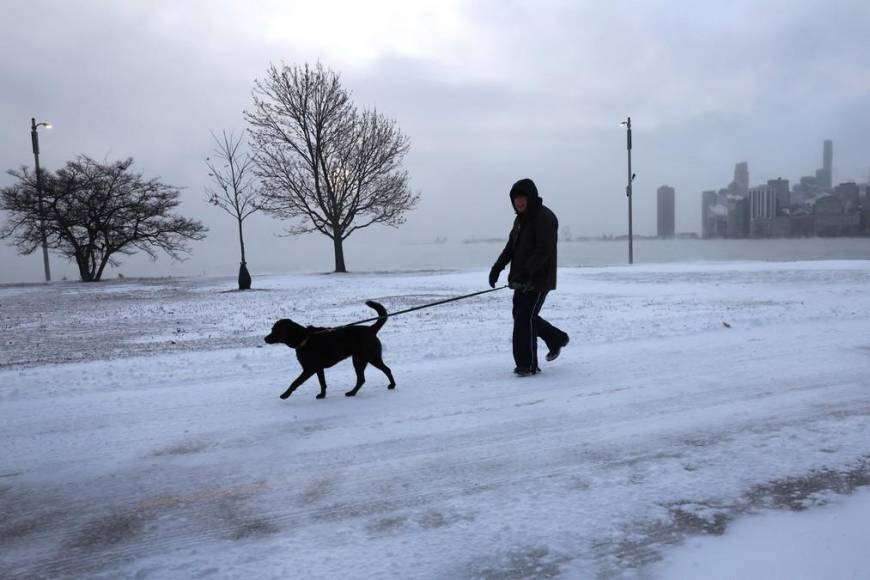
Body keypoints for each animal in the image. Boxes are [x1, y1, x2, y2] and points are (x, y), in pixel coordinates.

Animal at [264, 300, 396, 398]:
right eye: (272, 329)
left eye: (275, 330)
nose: (265, 339)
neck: (304, 338)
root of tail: (371, 329)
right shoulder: (318, 368)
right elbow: (322, 383)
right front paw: (322, 395)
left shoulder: (309, 369)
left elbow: (295, 382)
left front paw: (285, 395)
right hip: (370, 358)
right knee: (385, 370)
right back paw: (391, 385)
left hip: (362, 359)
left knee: (363, 378)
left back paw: (352, 393)